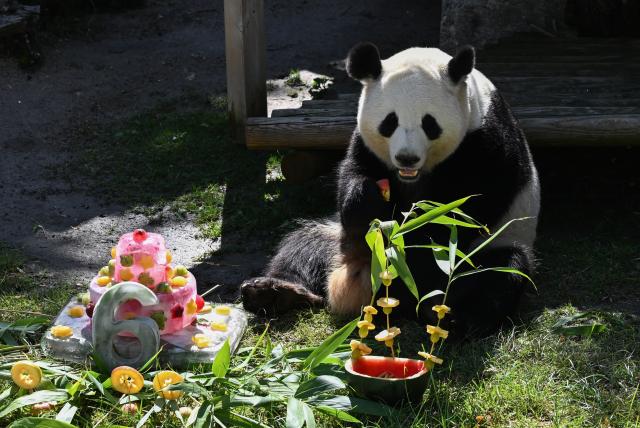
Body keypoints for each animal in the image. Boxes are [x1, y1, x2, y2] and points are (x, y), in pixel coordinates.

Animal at [241, 42, 540, 335]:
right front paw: (369, 201)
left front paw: (410, 240)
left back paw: (453, 316)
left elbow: (462, 213)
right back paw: (273, 291)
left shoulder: (485, 143)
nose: (407, 158)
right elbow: (352, 175)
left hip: (493, 245)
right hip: (335, 241)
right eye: (389, 122)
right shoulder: (364, 143)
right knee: (301, 247)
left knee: (497, 273)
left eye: (430, 124)